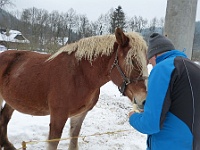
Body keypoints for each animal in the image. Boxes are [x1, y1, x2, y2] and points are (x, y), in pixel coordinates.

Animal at [0, 27, 147, 149]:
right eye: (131, 60)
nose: (144, 100)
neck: (80, 75)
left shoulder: (80, 115)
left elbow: (73, 140)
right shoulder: (58, 116)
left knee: (4, 118)